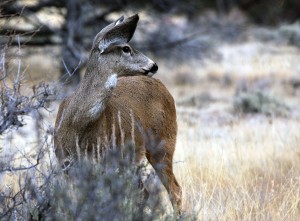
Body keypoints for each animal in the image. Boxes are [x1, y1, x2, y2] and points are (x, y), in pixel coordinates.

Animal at [53, 14, 183, 214]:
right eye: (126, 48)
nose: (154, 65)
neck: (76, 123)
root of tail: (164, 88)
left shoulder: (102, 161)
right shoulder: (65, 163)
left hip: (164, 142)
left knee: (174, 190)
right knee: (144, 193)